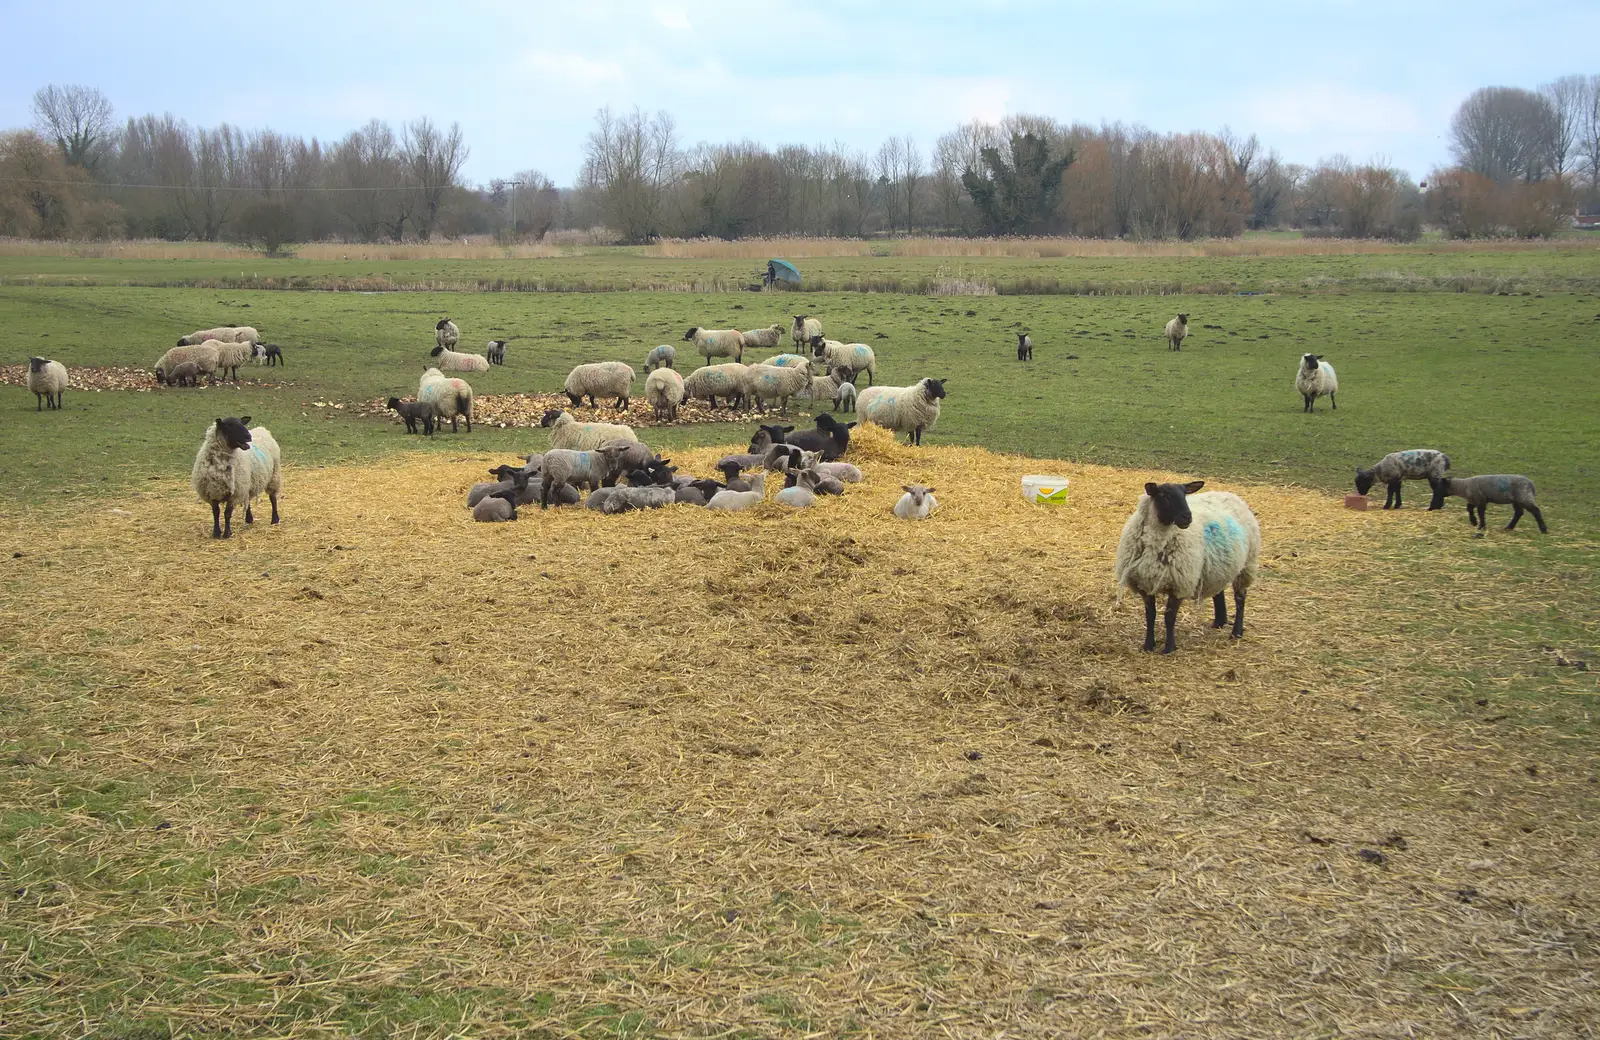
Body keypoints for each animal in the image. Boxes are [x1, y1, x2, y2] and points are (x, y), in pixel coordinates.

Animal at [1113, 476, 1260, 652]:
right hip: (1219, 565)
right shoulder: (1144, 584)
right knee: (1219, 591)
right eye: (1163, 494)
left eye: (1185, 493)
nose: (1187, 517)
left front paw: (1169, 648)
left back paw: (1236, 632)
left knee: (1240, 598)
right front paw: (1148, 645)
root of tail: (1231, 495)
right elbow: (1150, 616)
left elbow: (1169, 618)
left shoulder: (1179, 584)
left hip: (1246, 565)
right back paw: (1219, 622)